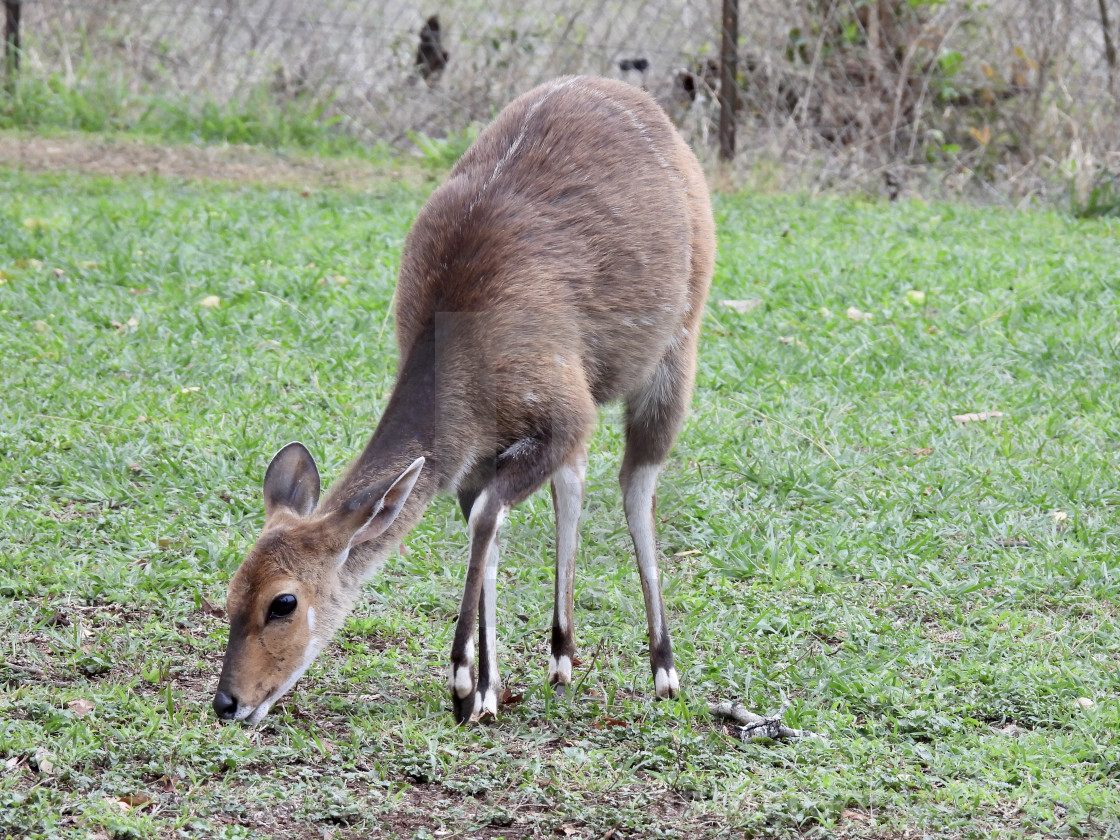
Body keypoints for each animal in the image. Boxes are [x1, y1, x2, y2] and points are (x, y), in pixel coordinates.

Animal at [210, 75, 716, 725]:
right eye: (230, 593)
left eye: (283, 602)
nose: (227, 702)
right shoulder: (477, 459)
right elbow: (490, 530)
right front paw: (488, 691)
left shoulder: (562, 412)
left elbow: (486, 519)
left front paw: (461, 685)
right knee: (573, 484)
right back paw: (561, 659)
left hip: (676, 349)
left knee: (635, 484)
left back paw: (663, 670)